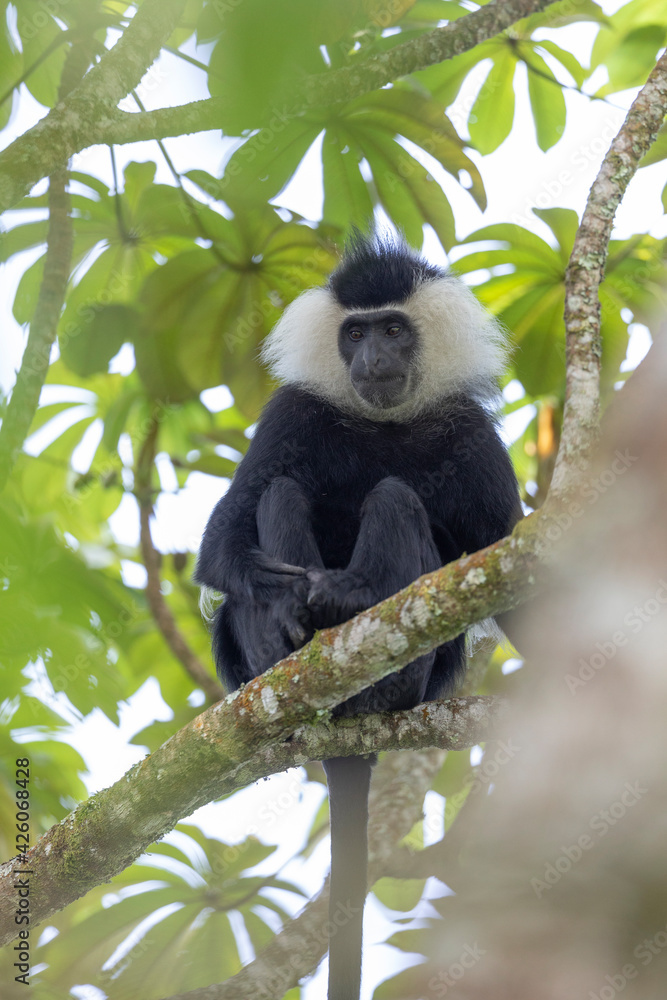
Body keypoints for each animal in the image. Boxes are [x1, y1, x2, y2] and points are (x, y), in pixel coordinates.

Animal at [195, 231, 521, 1000]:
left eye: (394, 330)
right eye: (354, 333)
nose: (372, 357)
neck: (385, 425)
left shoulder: (473, 436)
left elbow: (511, 561)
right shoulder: (291, 413)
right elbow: (223, 535)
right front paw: (279, 597)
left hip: (413, 678)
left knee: (396, 495)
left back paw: (351, 601)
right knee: (278, 492)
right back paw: (288, 644)